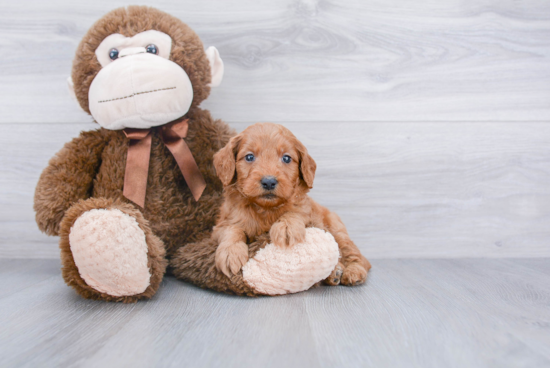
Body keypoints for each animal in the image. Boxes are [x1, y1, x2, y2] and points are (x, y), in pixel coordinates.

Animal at [213, 122, 374, 286]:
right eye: (249, 157)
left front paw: (286, 226)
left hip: (338, 231)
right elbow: (231, 230)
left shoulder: (308, 213)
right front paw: (230, 253)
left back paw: (352, 272)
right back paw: (334, 273)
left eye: (286, 158)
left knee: (357, 257)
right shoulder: (221, 224)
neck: (266, 209)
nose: (269, 181)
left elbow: (295, 211)